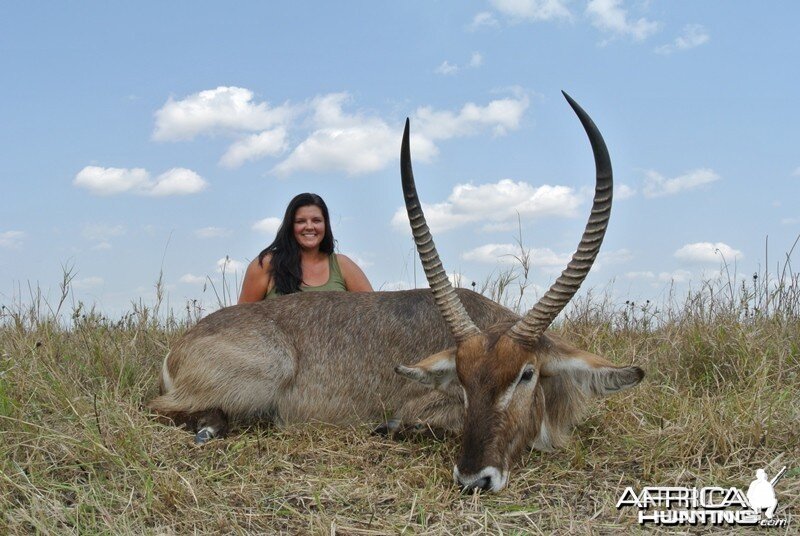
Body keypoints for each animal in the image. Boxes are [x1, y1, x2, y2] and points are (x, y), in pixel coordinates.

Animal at [150, 91, 644, 490]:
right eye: (462, 379)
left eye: (526, 374)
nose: (474, 479)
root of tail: (181, 343)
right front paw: (390, 429)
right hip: (268, 370)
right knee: (162, 407)